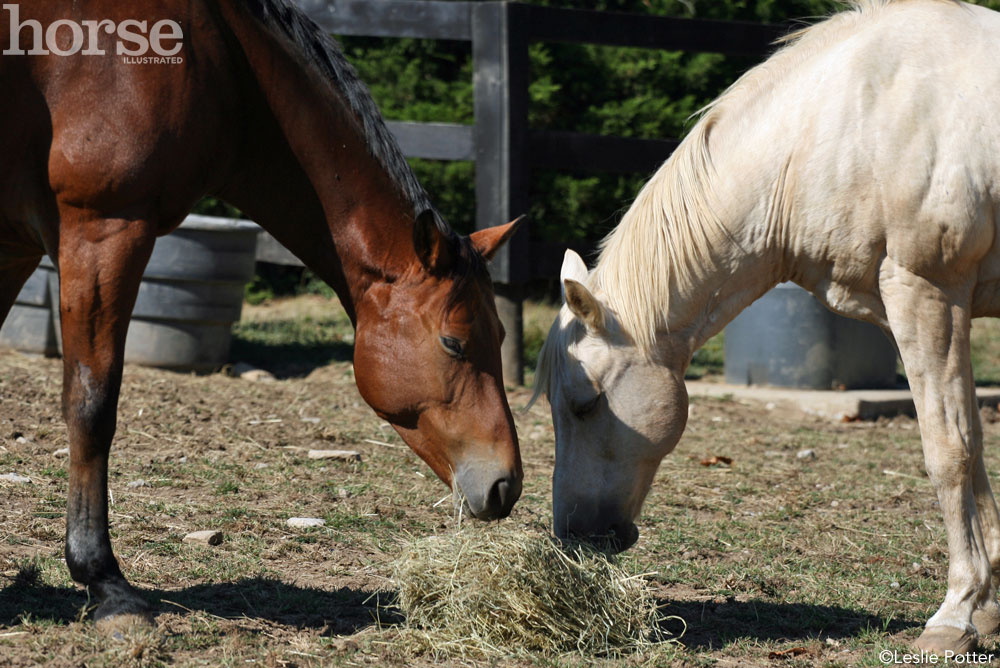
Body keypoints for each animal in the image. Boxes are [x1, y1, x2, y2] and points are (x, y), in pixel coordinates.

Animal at [0, 0, 523, 624]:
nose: (507, 484)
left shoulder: (15, 241)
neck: (219, 55)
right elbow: (92, 403)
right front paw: (102, 579)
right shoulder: (104, 228)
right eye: (453, 343)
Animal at [533, 0, 1000, 654]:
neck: (845, 118)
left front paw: (955, 616)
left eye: (584, 403)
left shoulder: (928, 294)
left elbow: (949, 451)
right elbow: (972, 448)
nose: (573, 538)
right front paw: (986, 611)